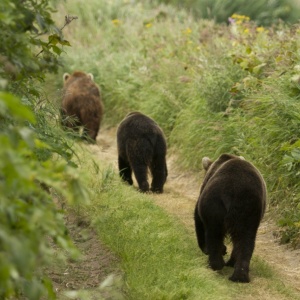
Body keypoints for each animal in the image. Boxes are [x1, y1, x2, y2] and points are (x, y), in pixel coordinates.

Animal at [195, 154, 268, 282]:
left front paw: (208, 249)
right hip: (248, 208)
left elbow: (199, 219)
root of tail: (232, 191)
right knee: (245, 239)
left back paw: (216, 264)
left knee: (214, 233)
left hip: (215, 203)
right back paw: (239, 275)